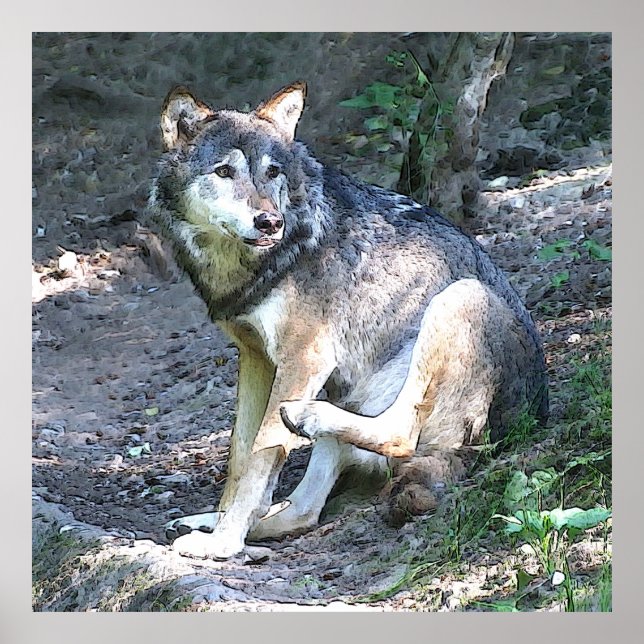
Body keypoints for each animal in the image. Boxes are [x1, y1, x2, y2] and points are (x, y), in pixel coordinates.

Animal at [149, 81, 548, 560]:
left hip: (456, 299)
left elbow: (260, 457)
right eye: (224, 171)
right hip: (345, 387)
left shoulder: (304, 358)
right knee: (304, 511)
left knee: (396, 433)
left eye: (272, 172)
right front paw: (224, 526)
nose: (269, 222)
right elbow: (240, 457)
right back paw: (222, 521)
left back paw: (304, 423)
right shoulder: (255, 358)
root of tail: (518, 430)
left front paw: (223, 544)